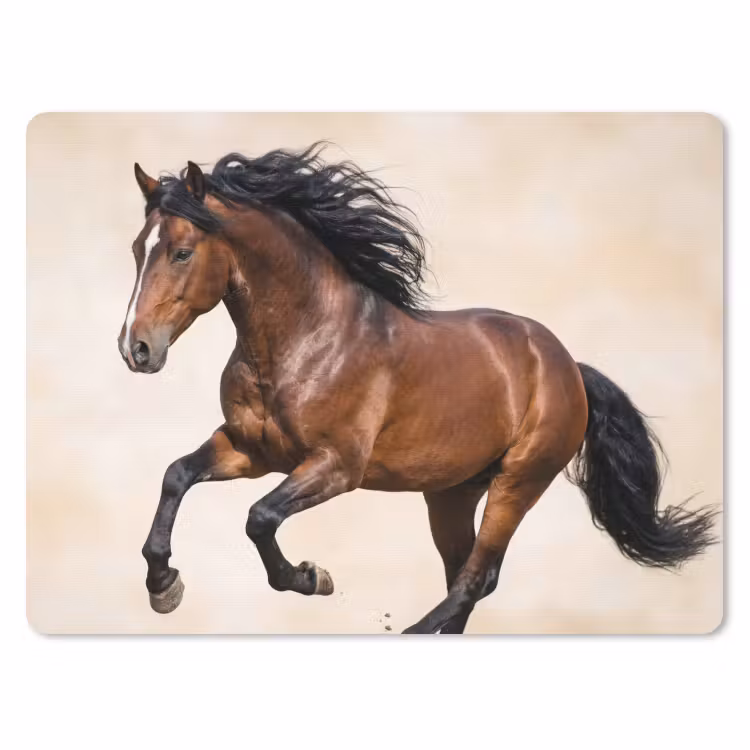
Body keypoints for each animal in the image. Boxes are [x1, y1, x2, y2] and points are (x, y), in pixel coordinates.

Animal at [118, 143, 717, 634]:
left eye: (182, 252)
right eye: (137, 249)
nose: (135, 348)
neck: (306, 339)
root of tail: (568, 364)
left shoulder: (336, 466)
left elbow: (260, 517)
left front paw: (312, 577)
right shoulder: (251, 450)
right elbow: (177, 476)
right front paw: (164, 586)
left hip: (520, 481)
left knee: (475, 578)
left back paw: (411, 629)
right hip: (451, 492)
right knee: (468, 575)